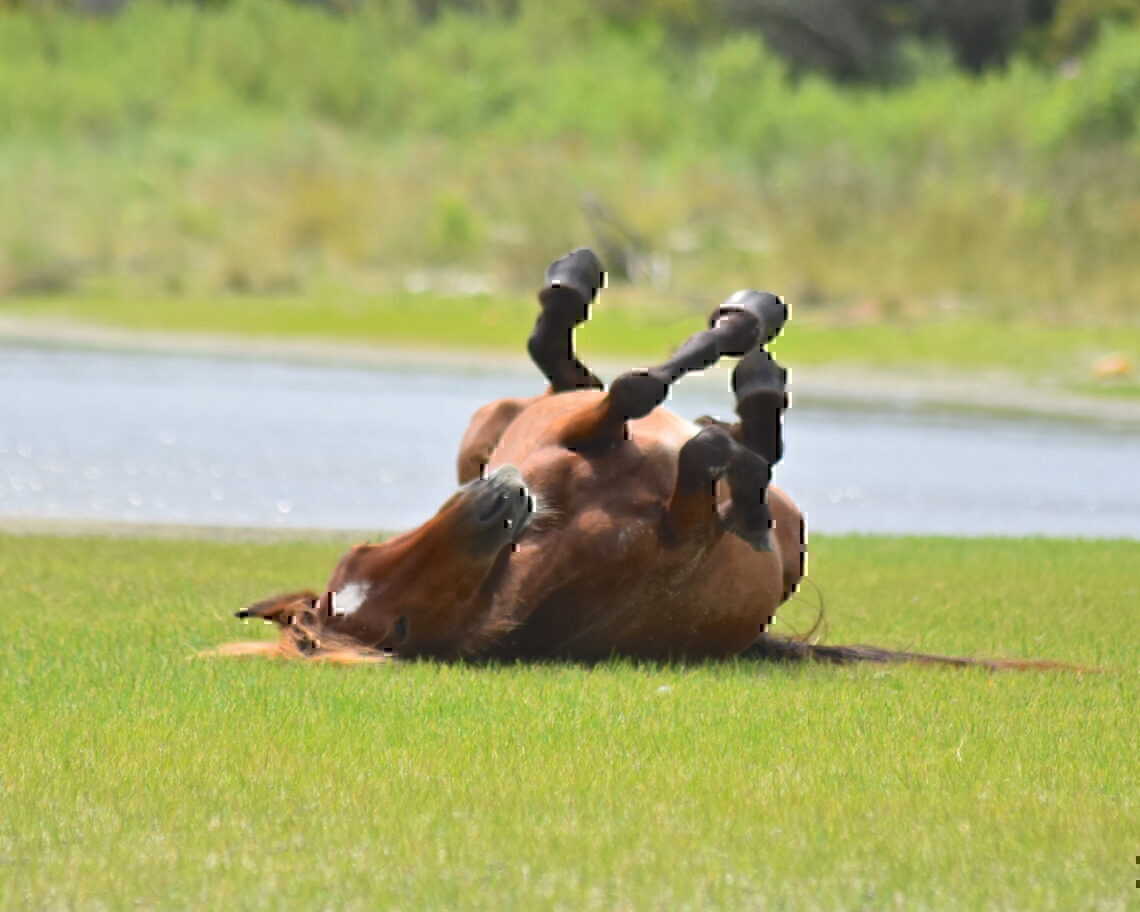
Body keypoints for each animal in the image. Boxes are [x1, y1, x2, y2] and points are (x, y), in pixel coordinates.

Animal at [220, 249, 1076, 670]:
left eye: (358, 552)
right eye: (400, 625)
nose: (503, 498)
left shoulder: (564, 434)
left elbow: (631, 388)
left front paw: (741, 325)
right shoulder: (675, 511)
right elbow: (669, 419)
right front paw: (734, 415)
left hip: (489, 425)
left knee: (563, 363)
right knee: (736, 451)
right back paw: (751, 403)